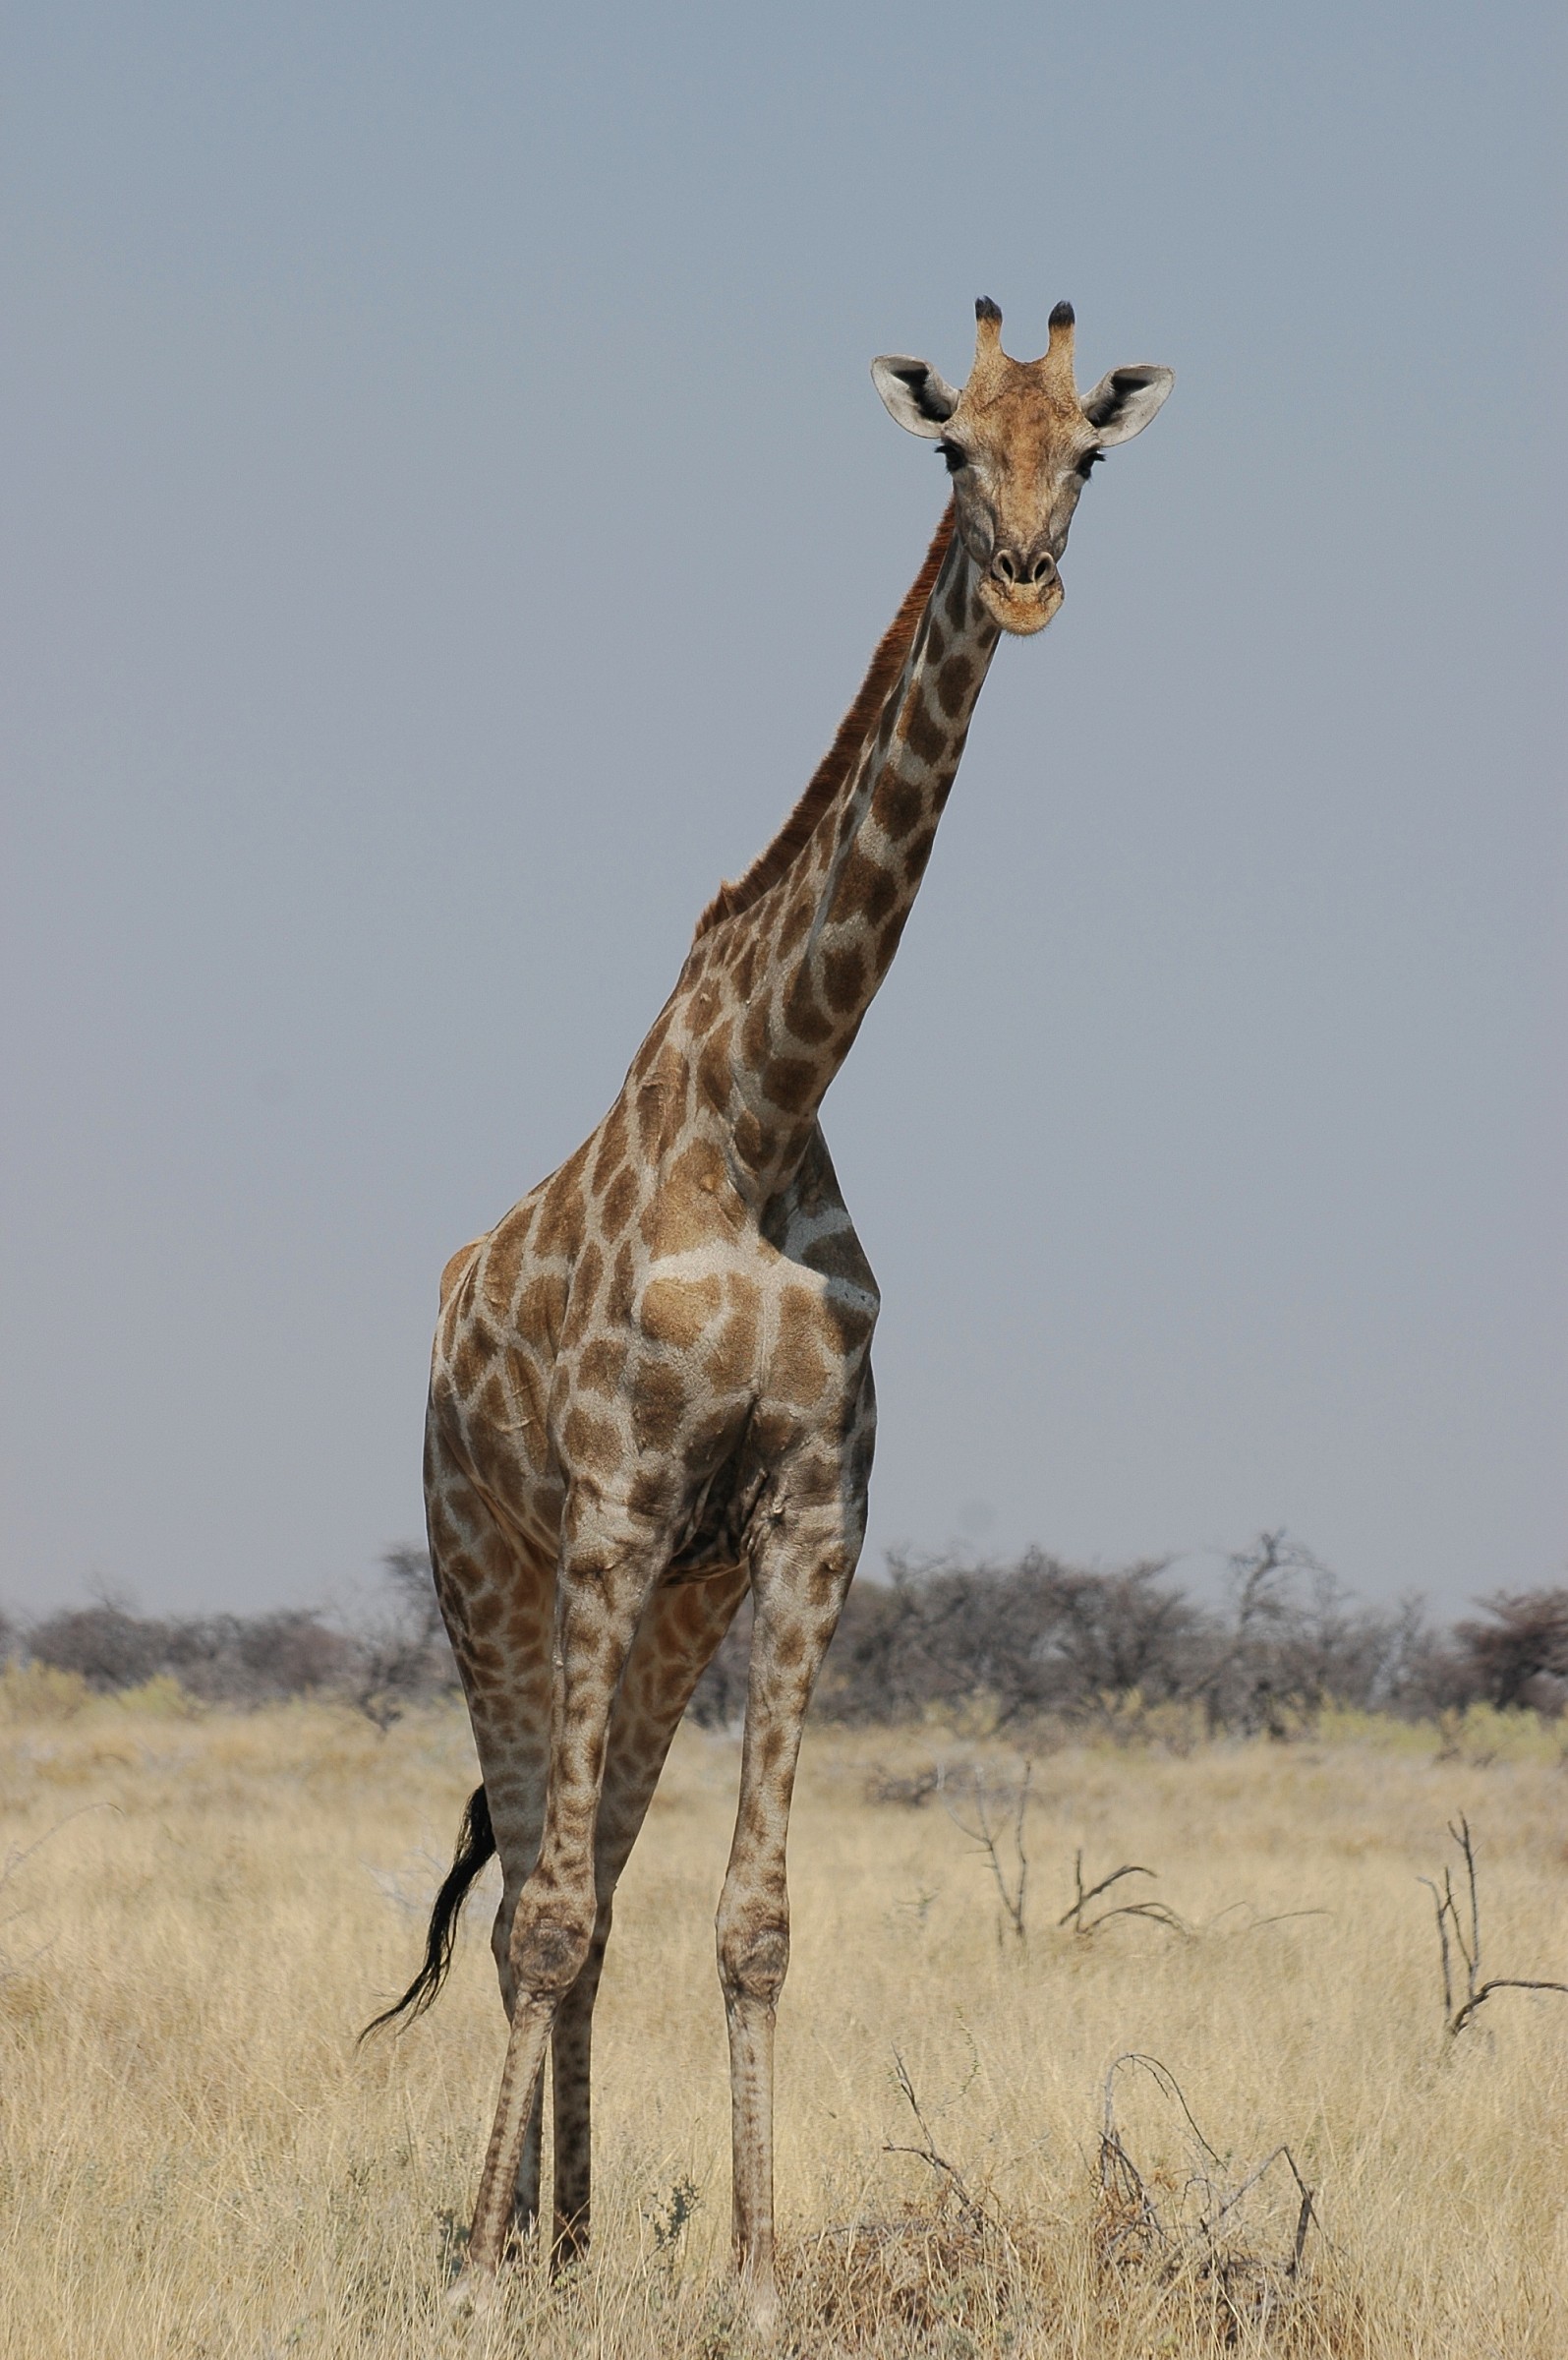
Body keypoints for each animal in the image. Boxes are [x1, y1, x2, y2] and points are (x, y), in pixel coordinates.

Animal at [370, 296, 1172, 2320]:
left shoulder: (806, 1523)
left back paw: (576, 2245)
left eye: (1086, 452)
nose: (1027, 579)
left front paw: (746, 2276)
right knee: (534, 1878)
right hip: (490, 1568)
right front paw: (473, 2280)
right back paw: (514, 2249)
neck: (758, 1106)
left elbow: (748, 1921)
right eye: (953, 448)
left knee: (604, 1871)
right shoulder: (609, 1509)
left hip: (675, 1605)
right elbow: (540, 1916)